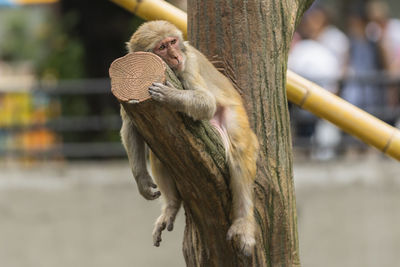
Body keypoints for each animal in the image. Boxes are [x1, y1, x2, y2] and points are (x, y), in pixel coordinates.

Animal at [120, 20, 260, 255]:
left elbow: (206, 103)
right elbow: (129, 126)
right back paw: (171, 206)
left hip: (235, 118)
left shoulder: (189, 64)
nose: (176, 56)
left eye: (172, 42)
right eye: (162, 47)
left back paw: (243, 222)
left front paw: (170, 96)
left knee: (239, 152)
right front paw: (142, 179)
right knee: (160, 150)